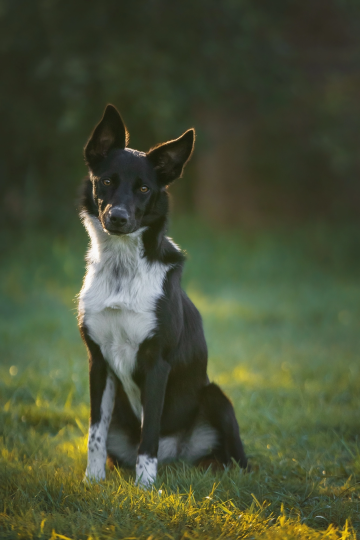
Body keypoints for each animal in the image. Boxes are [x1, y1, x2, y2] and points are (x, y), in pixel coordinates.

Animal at [78, 103, 248, 488]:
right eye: (106, 181)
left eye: (143, 188)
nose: (118, 218)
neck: (122, 271)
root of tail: (177, 457)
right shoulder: (98, 362)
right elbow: (96, 431)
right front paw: (93, 481)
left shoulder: (157, 364)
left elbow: (150, 433)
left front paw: (145, 488)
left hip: (217, 398)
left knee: (236, 460)